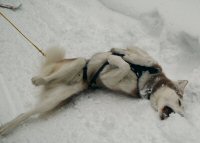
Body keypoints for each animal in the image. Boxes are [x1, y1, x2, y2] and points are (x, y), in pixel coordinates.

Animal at [0, 47, 188, 135]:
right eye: (180, 102)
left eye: (181, 107)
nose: (181, 116)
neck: (145, 81)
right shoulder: (142, 58)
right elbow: (141, 58)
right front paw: (119, 54)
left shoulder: (109, 79)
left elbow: (125, 65)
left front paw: (119, 58)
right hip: (79, 63)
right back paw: (39, 80)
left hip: (58, 96)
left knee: (27, 113)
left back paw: (6, 128)